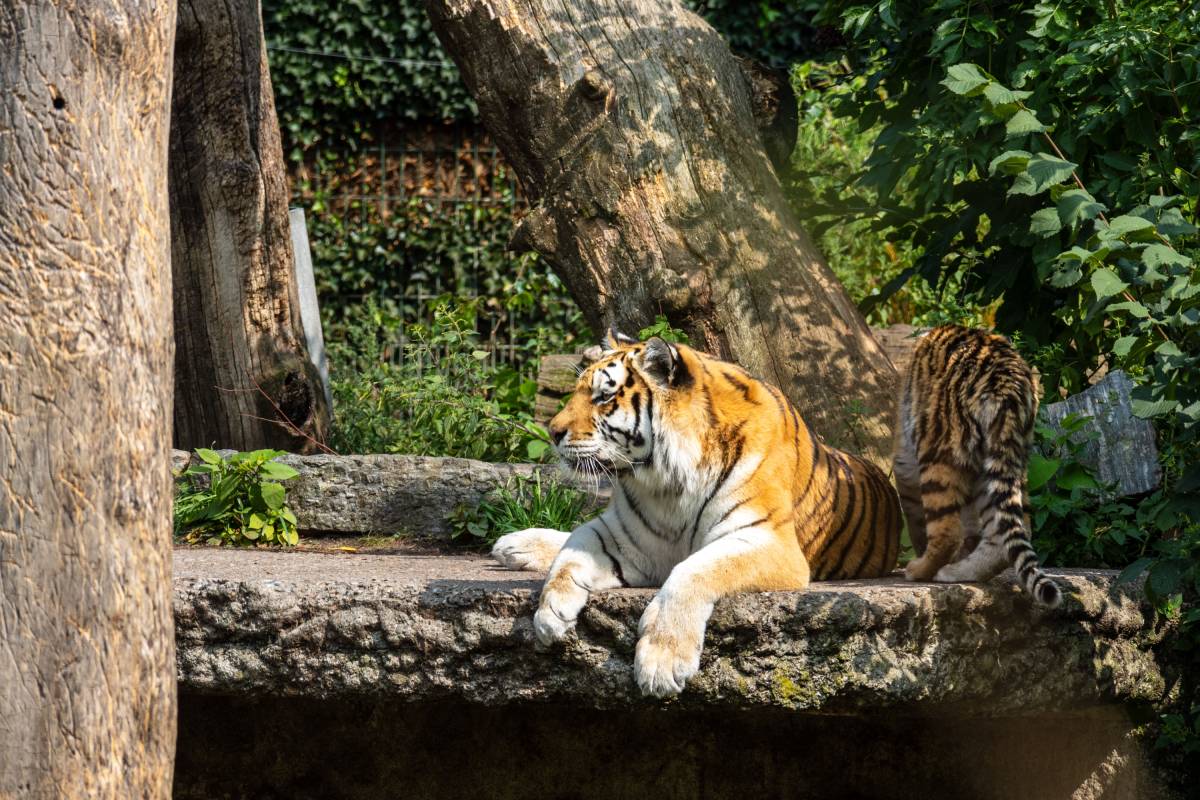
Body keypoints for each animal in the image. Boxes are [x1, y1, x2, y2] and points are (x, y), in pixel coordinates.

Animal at [489, 331, 902, 695]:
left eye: (603, 396)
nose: (553, 431)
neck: (668, 484)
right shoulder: (624, 537)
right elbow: (575, 546)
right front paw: (550, 612)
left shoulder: (768, 541)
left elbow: (694, 570)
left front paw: (661, 662)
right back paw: (513, 545)